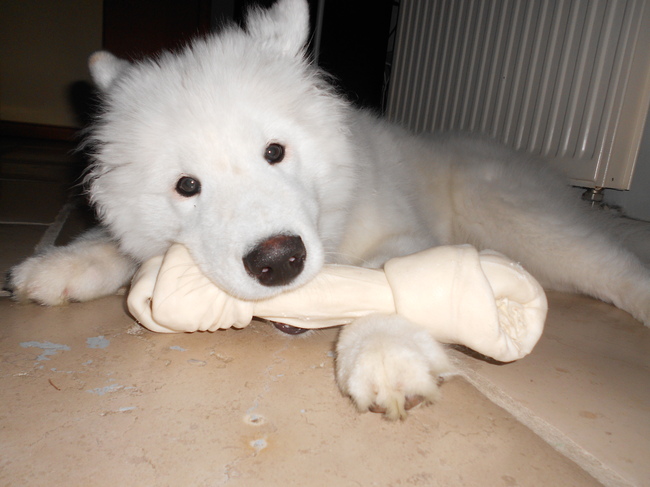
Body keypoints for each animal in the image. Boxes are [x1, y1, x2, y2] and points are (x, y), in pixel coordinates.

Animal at [8, 0, 650, 419]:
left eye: (274, 151)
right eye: (187, 186)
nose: (278, 261)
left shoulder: (402, 233)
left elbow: (388, 284)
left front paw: (387, 355)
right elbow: (113, 245)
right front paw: (56, 267)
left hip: (521, 221)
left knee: (616, 268)